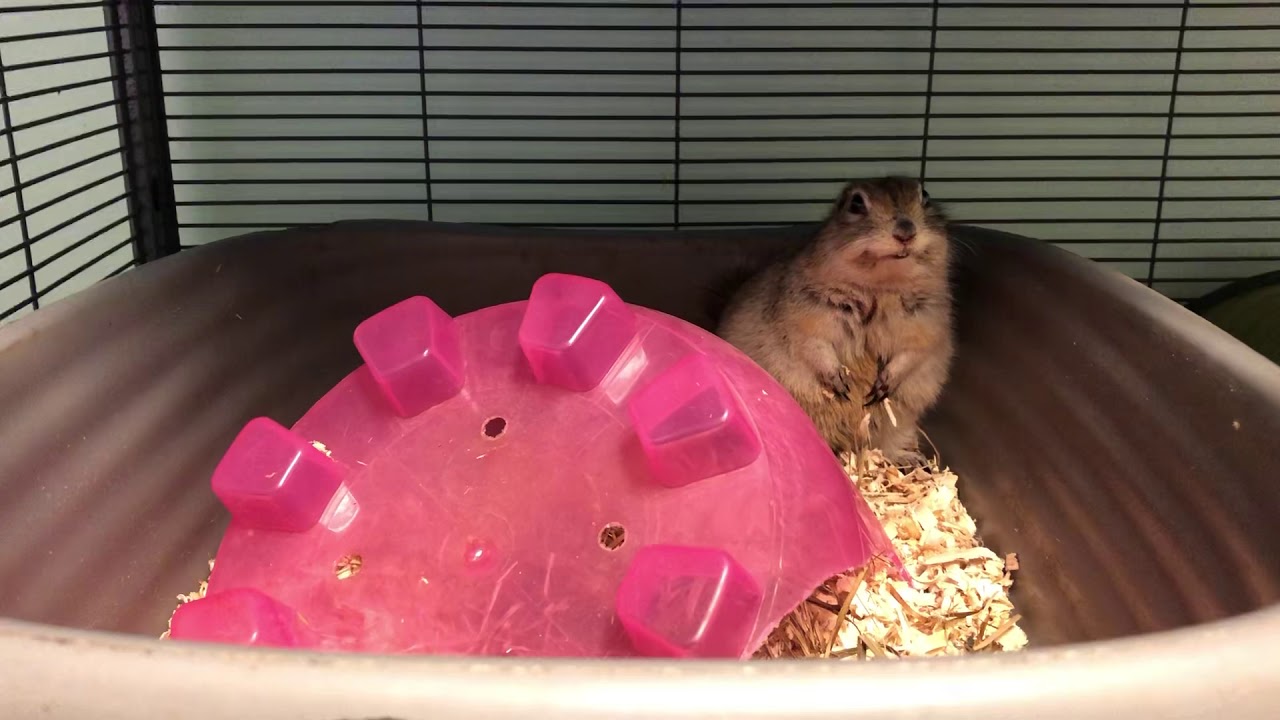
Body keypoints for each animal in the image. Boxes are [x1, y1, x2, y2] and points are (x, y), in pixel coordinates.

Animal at [715, 176, 954, 466]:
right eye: (856, 203)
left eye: (925, 196)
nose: (906, 232)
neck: (881, 288)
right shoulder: (807, 321)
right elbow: (816, 348)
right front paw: (841, 384)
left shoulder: (927, 325)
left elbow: (910, 355)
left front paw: (880, 388)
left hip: (899, 425)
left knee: (885, 445)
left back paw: (910, 459)